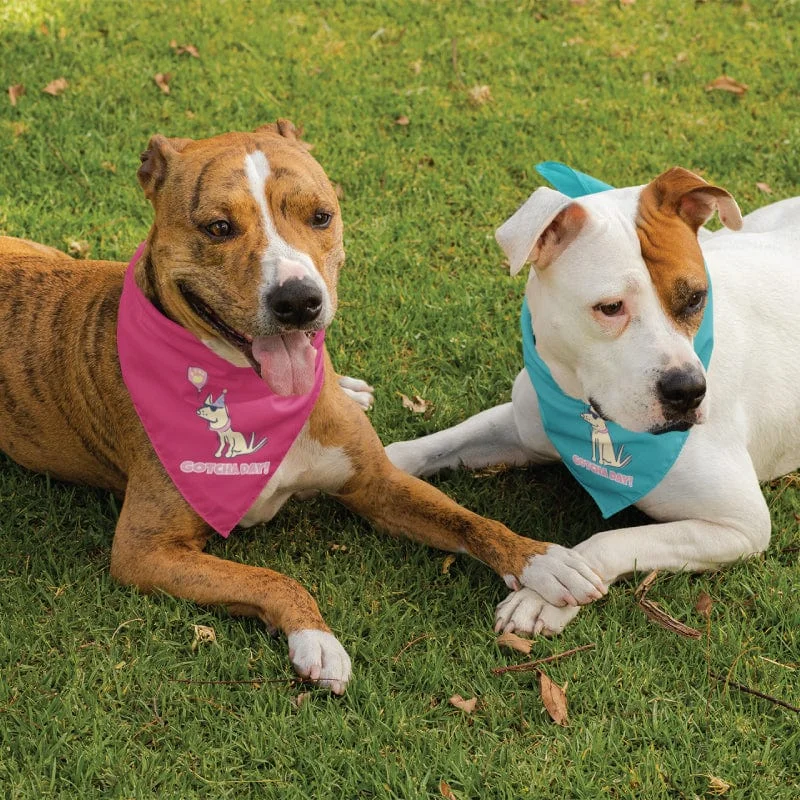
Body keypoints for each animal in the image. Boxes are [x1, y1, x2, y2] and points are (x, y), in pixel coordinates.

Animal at [384, 167, 796, 636]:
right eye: (611, 307)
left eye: (695, 298)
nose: (688, 391)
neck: (583, 406)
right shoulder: (524, 425)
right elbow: (433, 445)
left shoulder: (740, 525)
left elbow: (611, 540)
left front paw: (543, 594)